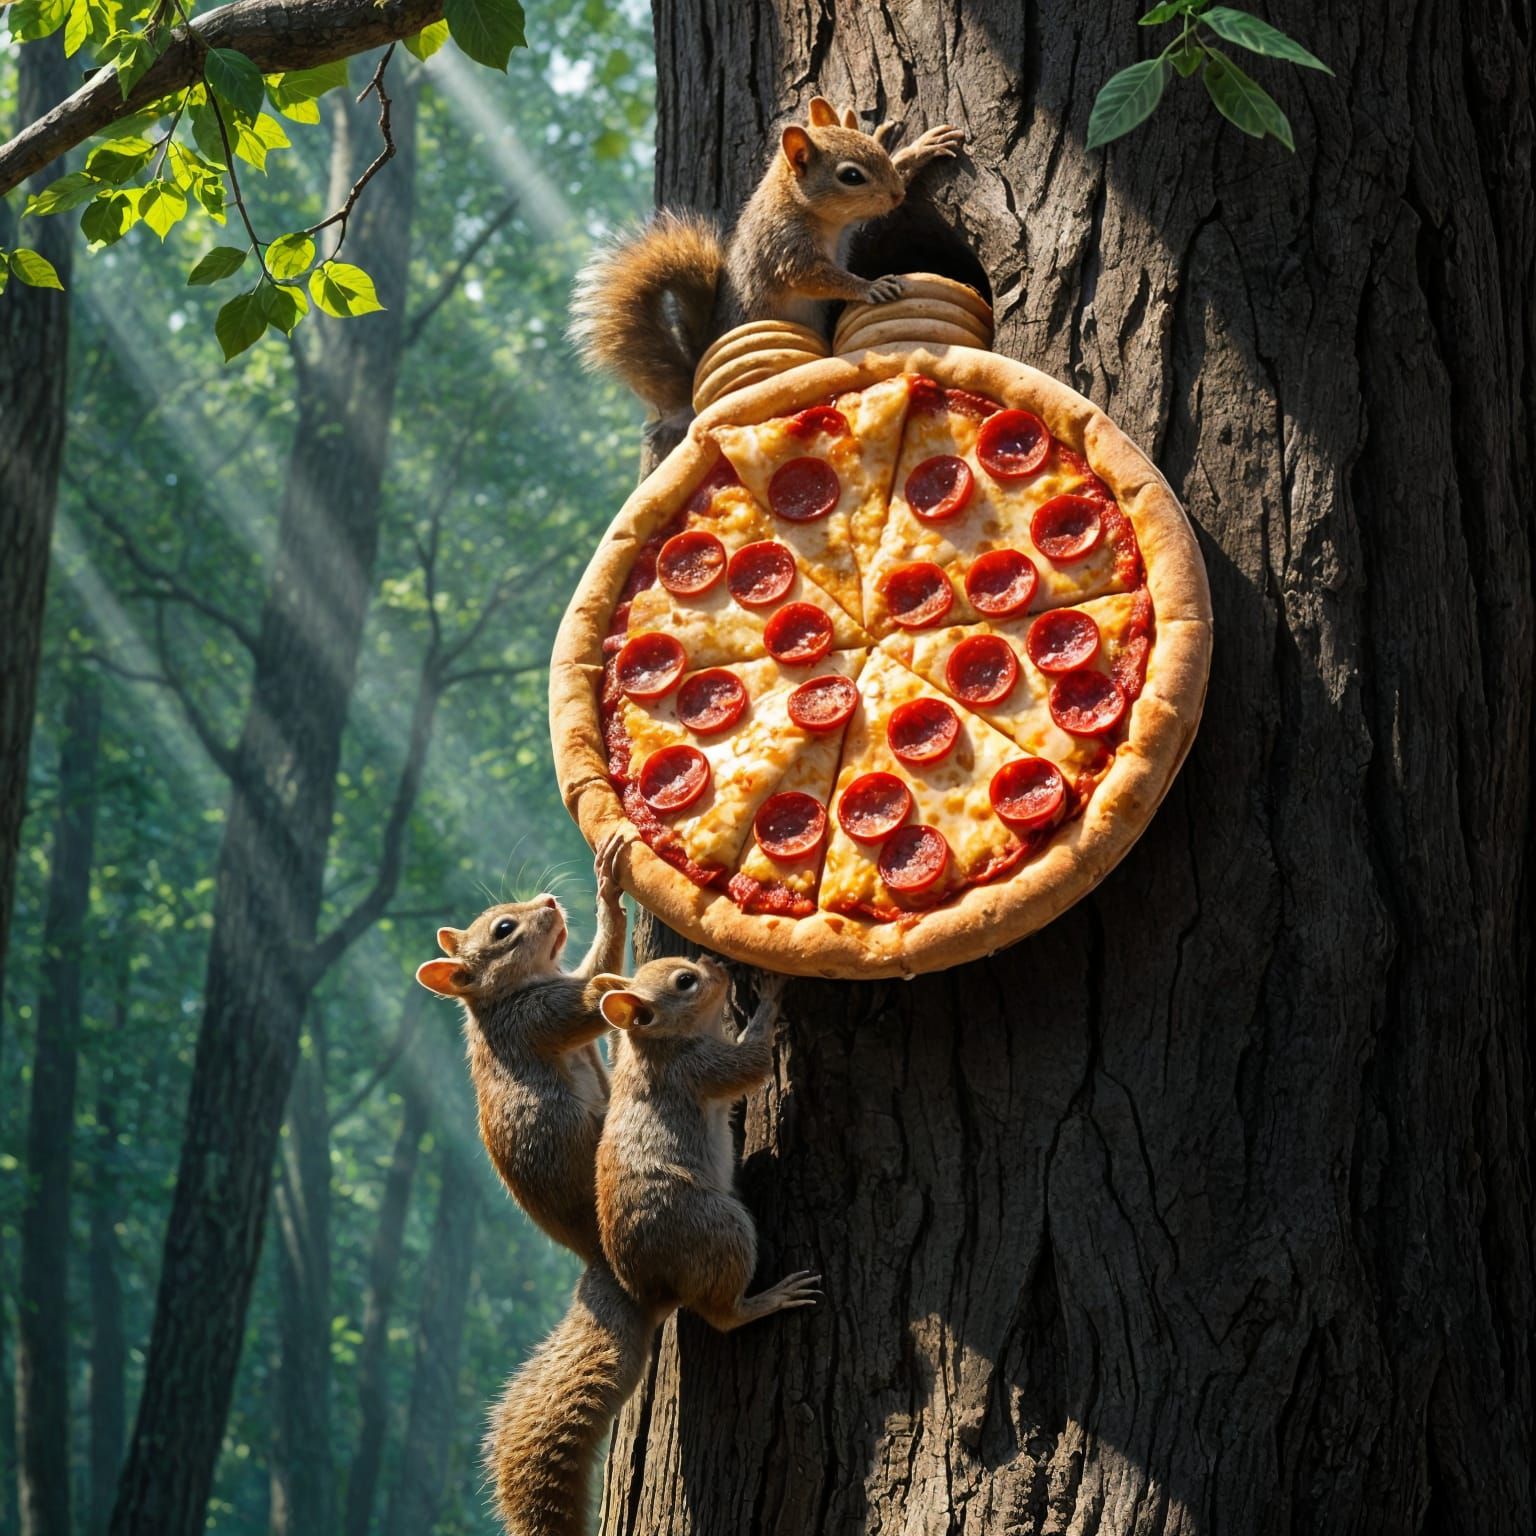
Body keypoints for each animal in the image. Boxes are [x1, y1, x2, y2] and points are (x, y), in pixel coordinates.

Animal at [415, 831, 627, 1265]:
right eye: (504, 928)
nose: (548, 900)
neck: (505, 996)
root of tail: (590, 1249)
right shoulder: (534, 1019)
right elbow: (595, 987)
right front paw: (607, 892)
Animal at [484, 957, 814, 1536]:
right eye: (685, 982)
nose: (718, 965)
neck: (654, 1046)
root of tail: (648, 1290)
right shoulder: (700, 1068)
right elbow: (750, 1063)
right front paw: (772, 993)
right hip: (720, 1228)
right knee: (721, 1315)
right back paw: (768, 1300)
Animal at [569, 95, 965, 419]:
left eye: (878, 152)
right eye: (851, 176)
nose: (897, 195)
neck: (802, 206)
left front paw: (919, 149)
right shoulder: (785, 248)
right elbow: (817, 277)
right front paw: (871, 287)